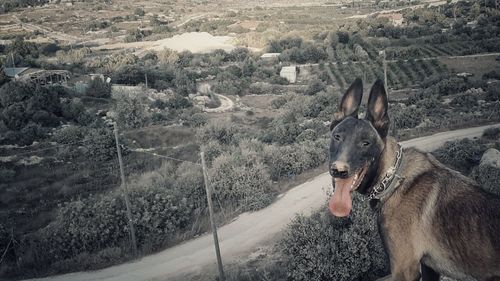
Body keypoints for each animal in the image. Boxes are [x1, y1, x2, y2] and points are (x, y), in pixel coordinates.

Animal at [328, 77, 500, 280]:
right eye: (337, 137)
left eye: (365, 143)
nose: (338, 170)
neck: (392, 179)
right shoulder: (428, 267)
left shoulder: (404, 269)